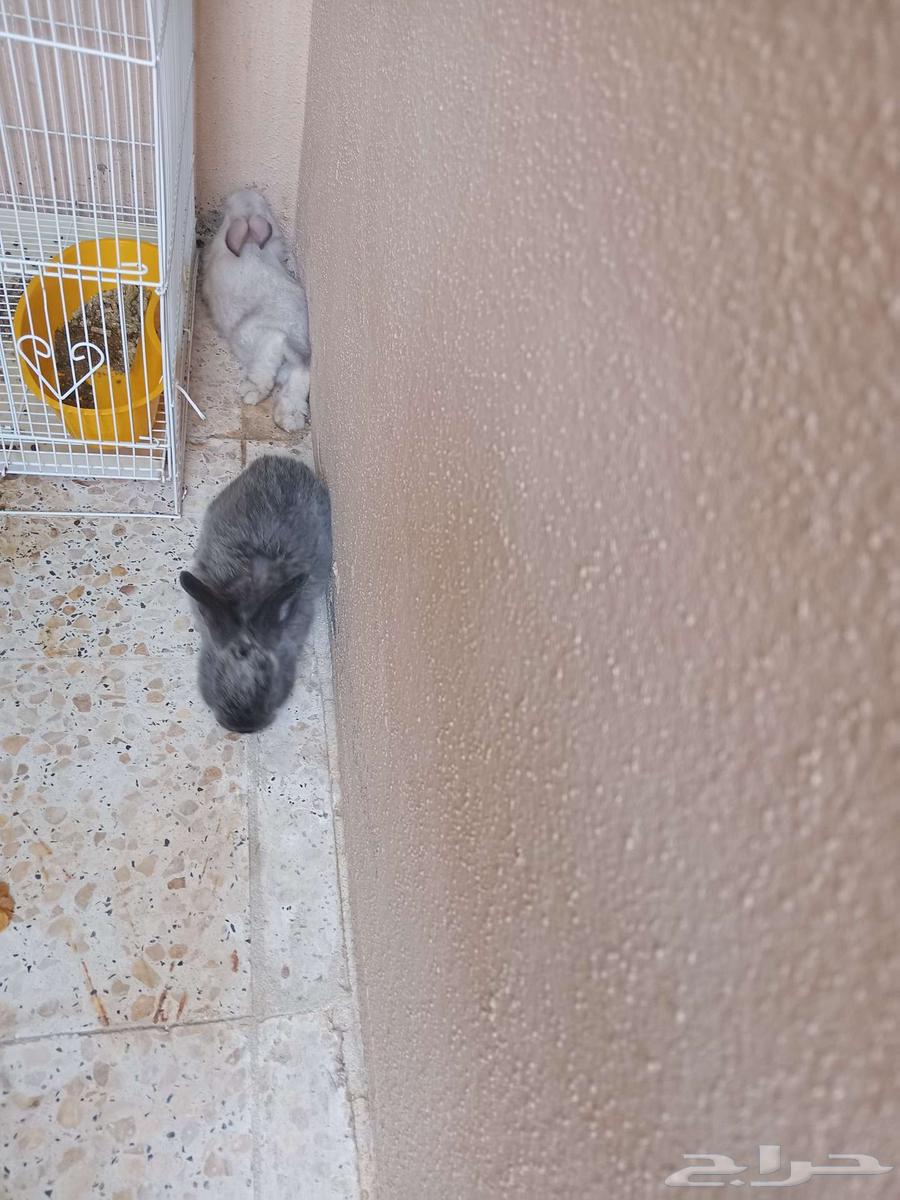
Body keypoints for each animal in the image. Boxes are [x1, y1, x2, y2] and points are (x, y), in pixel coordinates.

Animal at [202, 187, 311, 432]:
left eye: (227, 211)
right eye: (266, 207)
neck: (250, 245)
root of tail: (295, 340)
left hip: (261, 342)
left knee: (264, 376)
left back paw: (249, 393)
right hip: (294, 370)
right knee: (299, 380)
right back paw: (289, 419)